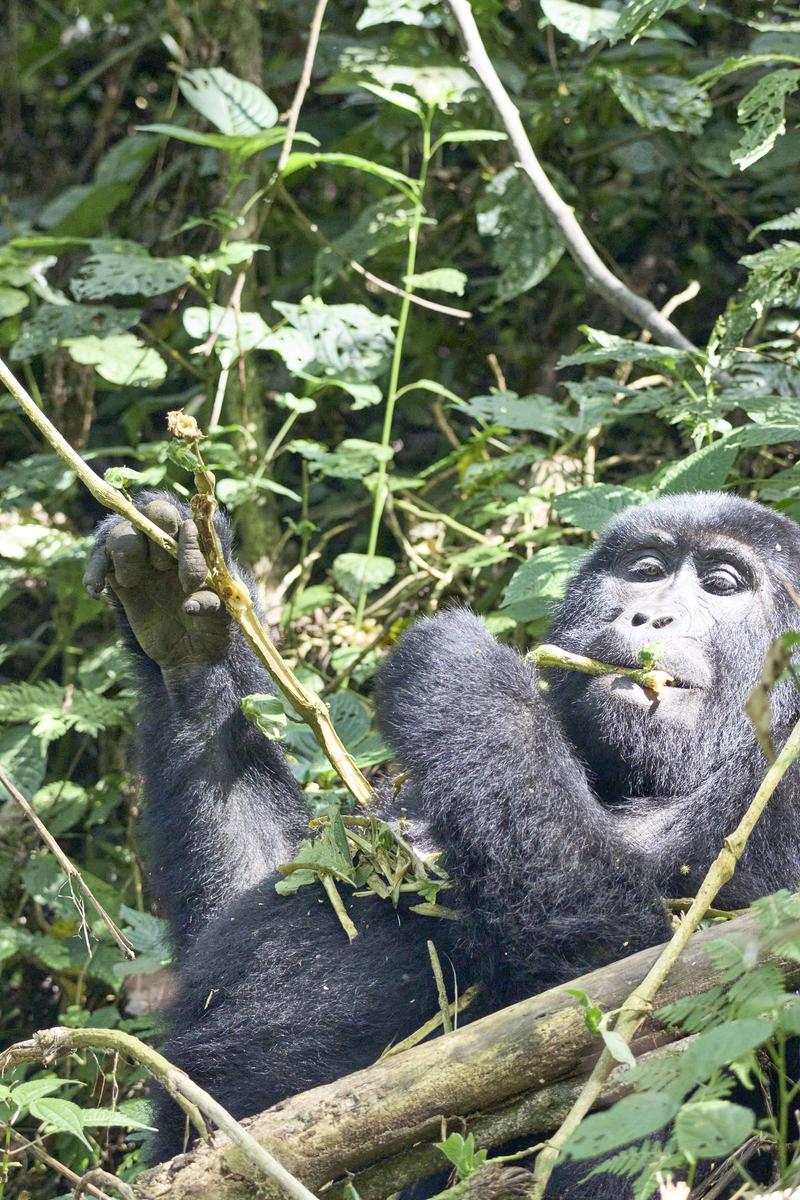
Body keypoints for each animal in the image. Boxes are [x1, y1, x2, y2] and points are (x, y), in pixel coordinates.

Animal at [84, 487, 800, 1190]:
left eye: (722, 584)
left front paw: (470, 672)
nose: (650, 618)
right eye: (645, 570)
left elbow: (626, 993)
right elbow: (278, 882)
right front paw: (187, 628)